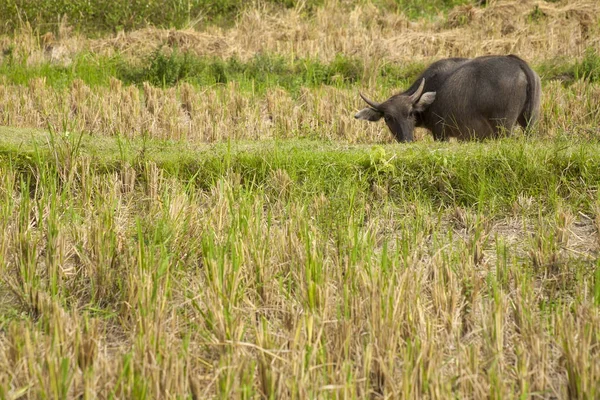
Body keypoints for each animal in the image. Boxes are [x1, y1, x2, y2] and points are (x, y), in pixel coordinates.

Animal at [354, 54, 540, 142]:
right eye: (387, 118)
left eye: (410, 113)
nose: (406, 140)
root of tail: (518, 62)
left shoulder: (440, 133)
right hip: (529, 122)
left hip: (504, 126)